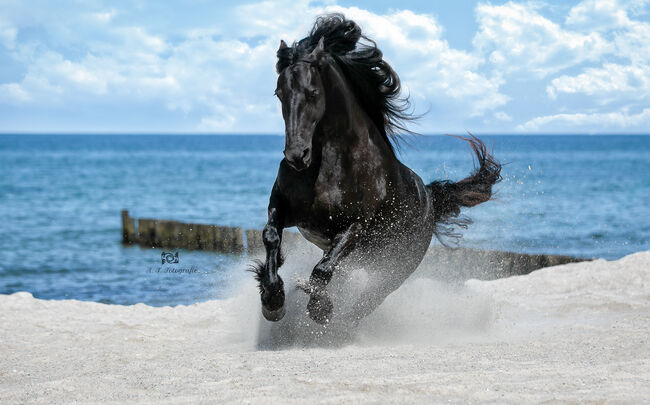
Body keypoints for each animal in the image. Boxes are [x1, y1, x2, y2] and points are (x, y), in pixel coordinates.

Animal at [251, 14, 498, 326]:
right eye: (279, 93)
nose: (297, 156)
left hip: (393, 270)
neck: (327, 167)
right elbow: (271, 237)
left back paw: (344, 322)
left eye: (313, 92)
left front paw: (320, 308)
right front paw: (273, 300)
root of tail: (430, 200)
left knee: (369, 300)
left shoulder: (354, 225)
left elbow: (322, 270)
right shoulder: (282, 205)